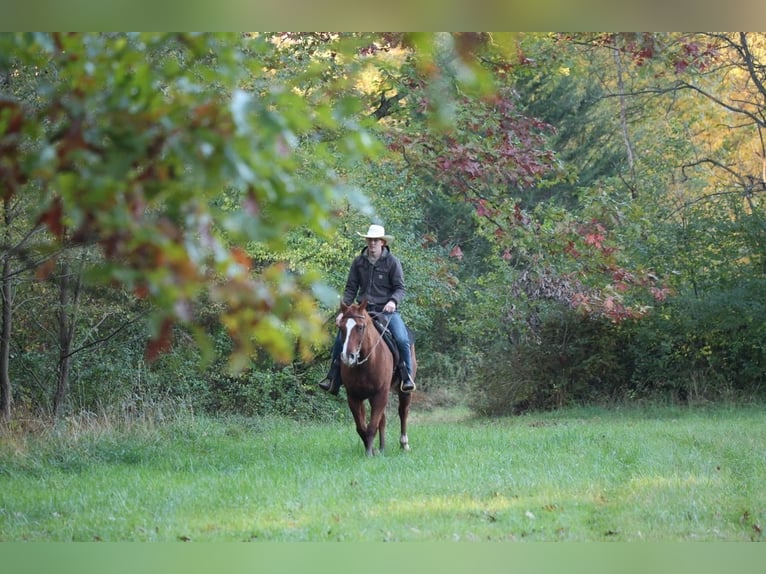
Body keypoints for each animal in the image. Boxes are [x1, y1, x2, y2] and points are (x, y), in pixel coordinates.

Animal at [337, 299, 415, 456]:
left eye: (360, 327)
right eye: (341, 327)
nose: (348, 357)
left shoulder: (381, 393)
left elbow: (372, 426)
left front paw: (369, 454)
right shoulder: (354, 397)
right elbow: (361, 427)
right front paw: (373, 450)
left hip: (404, 391)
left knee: (403, 411)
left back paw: (404, 444)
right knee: (383, 420)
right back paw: (382, 447)